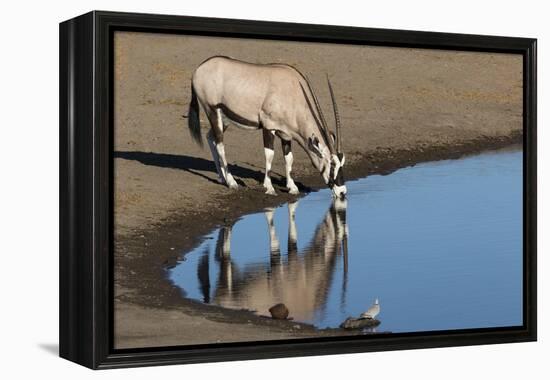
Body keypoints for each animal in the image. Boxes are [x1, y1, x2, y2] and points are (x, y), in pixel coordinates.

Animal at [188, 57, 348, 199]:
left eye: (342, 164)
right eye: (332, 164)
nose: (342, 192)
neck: (293, 91)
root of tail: (199, 69)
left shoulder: (286, 134)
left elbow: (289, 158)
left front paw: (292, 187)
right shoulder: (268, 127)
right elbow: (269, 155)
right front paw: (269, 187)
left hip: (224, 119)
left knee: (211, 137)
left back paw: (222, 177)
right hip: (212, 110)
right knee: (220, 145)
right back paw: (231, 182)